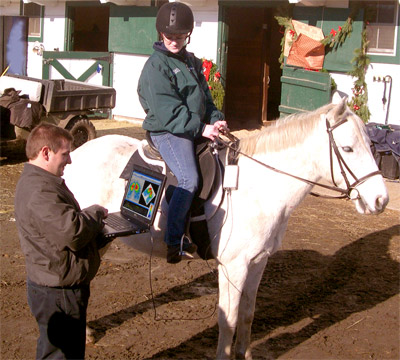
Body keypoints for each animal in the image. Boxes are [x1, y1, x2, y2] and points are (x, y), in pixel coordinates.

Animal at [63, 99, 388, 360]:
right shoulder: (234, 267)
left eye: (371, 145)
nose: (381, 200)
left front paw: (245, 355)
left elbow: (246, 314)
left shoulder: (258, 262)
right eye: (347, 148)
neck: (257, 187)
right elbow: (228, 320)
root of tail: (75, 155)